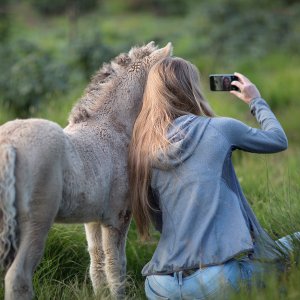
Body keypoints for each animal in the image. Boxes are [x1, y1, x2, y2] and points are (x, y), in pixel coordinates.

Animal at [0, 41, 172, 298]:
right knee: (18, 277)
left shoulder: (92, 218)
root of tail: (9, 144)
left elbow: (97, 261)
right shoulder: (118, 216)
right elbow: (116, 264)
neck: (112, 126)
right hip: (35, 224)